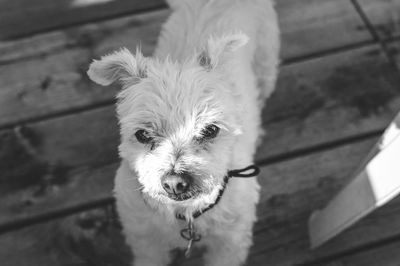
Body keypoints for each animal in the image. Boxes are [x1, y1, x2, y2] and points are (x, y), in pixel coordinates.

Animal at [87, 0, 278, 264]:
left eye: (210, 130)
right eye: (142, 135)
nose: (175, 183)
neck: (184, 213)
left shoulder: (230, 242)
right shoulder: (144, 240)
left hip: (266, 65)